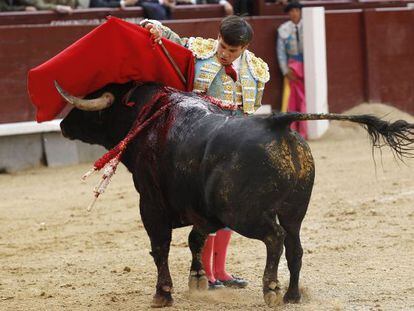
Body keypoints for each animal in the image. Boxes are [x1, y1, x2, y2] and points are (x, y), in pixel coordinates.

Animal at [57, 81, 414, 308]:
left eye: (88, 107)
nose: (61, 124)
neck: (151, 114)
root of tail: (277, 123)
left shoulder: (151, 205)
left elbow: (160, 248)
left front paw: (163, 294)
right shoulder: (202, 212)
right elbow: (196, 240)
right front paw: (198, 279)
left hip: (244, 214)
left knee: (274, 237)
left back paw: (271, 289)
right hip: (295, 211)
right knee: (295, 246)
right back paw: (292, 295)